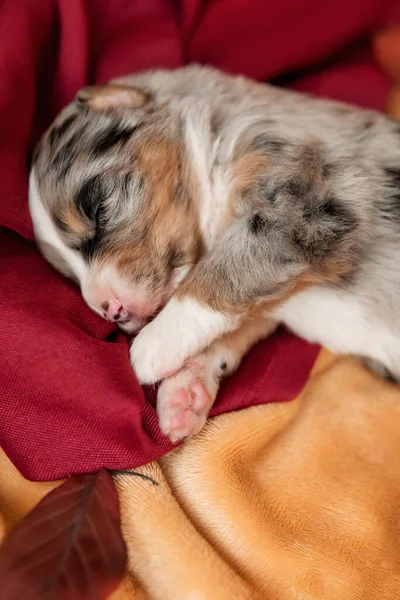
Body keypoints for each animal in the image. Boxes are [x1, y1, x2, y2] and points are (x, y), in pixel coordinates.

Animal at [29, 65, 400, 440]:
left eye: (96, 208)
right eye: (68, 275)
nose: (110, 311)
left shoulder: (311, 197)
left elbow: (222, 273)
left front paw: (153, 346)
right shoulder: (277, 294)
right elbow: (239, 321)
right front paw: (184, 393)